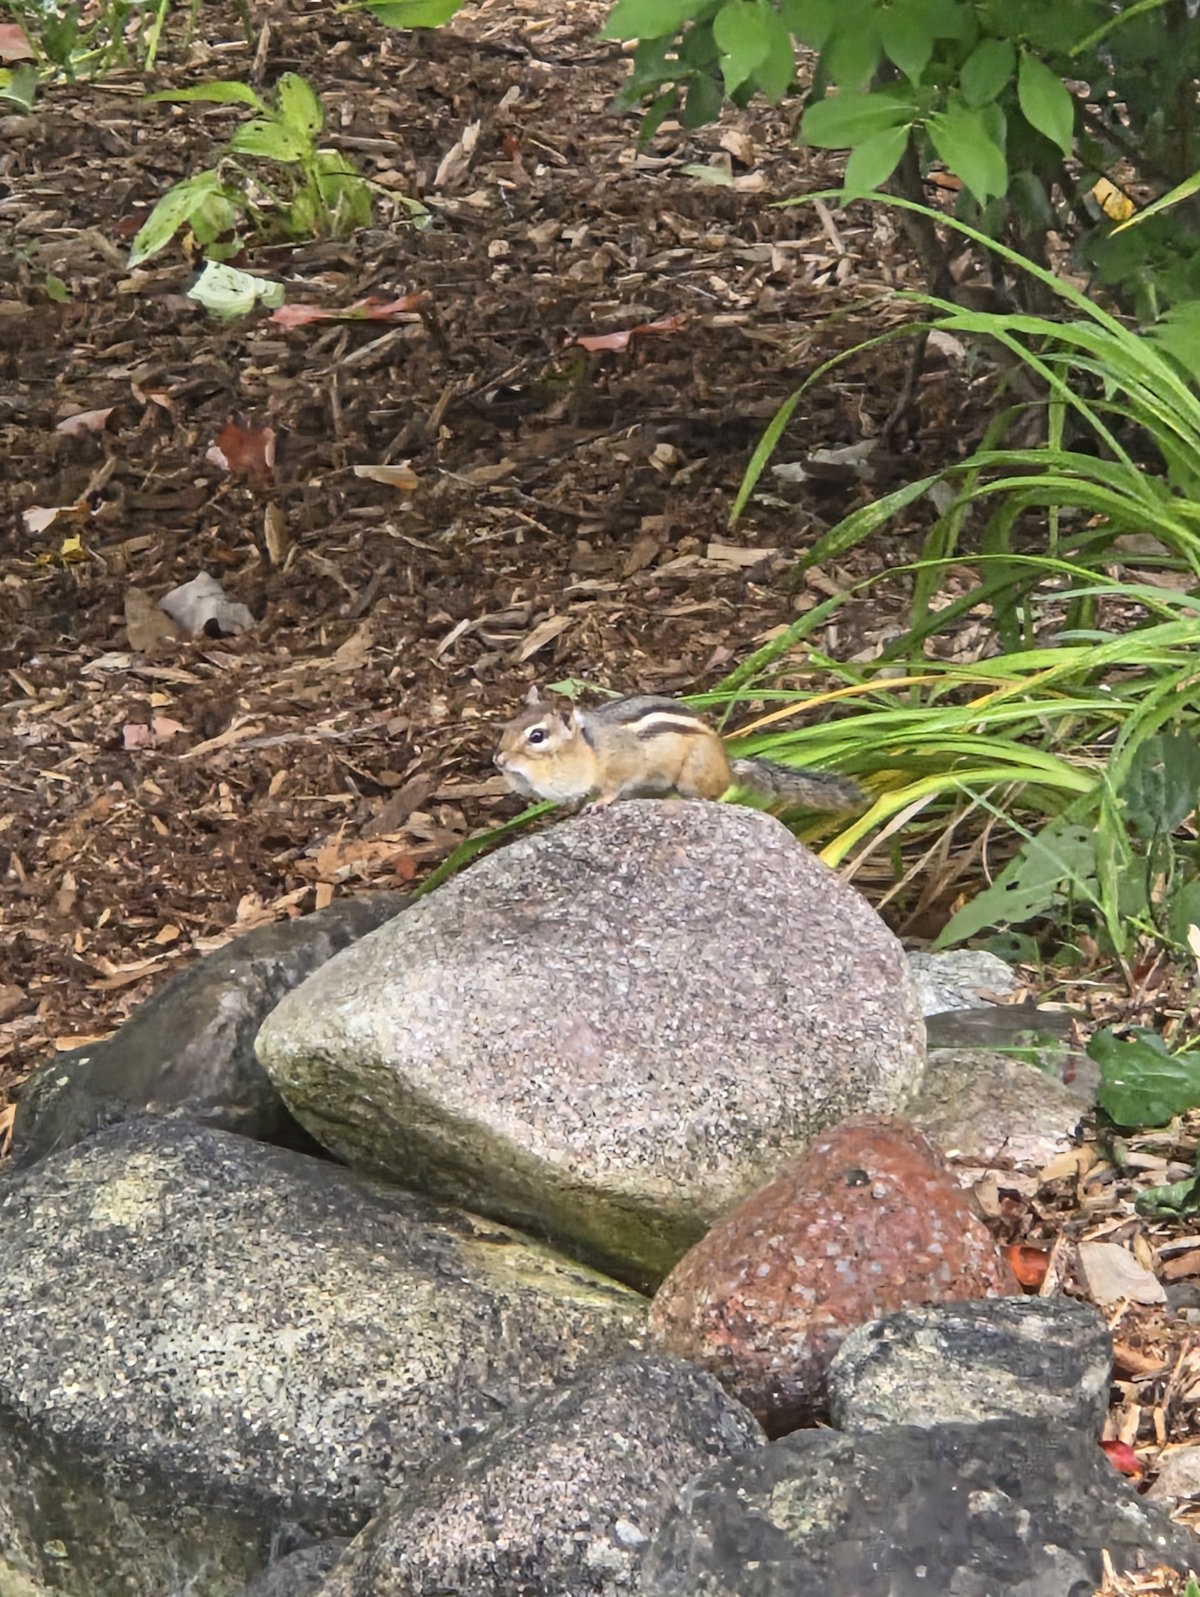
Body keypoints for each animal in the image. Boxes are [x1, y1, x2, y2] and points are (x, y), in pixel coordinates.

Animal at [493, 688, 864, 813]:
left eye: (537, 736)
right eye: (508, 726)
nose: (498, 760)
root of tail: (728, 765)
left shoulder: (621, 763)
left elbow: (611, 787)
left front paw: (599, 803)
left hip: (692, 774)